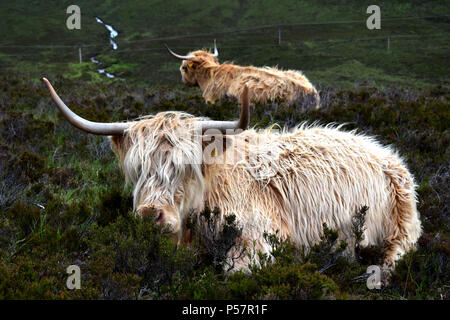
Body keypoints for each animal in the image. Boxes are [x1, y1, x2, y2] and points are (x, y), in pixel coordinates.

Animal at [42, 77, 422, 280]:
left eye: (184, 167)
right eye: (140, 169)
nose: (152, 215)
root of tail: (385, 152)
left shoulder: (261, 240)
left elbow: (233, 271)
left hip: (400, 226)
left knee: (396, 253)